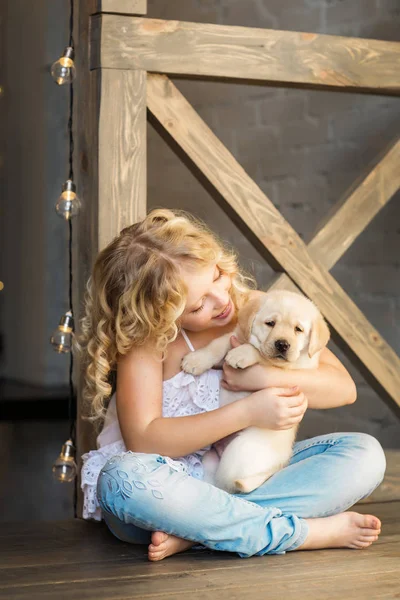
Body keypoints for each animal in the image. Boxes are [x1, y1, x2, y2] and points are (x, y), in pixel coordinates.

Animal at [183, 290, 330, 492]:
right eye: (270, 323)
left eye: (298, 329)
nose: (282, 344)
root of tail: (273, 468)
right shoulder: (233, 336)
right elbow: (217, 345)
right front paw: (196, 360)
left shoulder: (292, 369)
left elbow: (261, 354)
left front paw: (241, 354)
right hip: (212, 457)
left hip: (239, 451)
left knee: (226, 487)